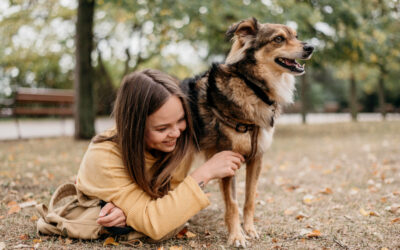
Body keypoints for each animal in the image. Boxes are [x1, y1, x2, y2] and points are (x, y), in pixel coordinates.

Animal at [180, 17, 314, 246]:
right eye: (279, 39)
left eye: (296, 36)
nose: (310, 47)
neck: (254, 88)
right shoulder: (227, 161)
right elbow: (233, 203)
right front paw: (236, 236)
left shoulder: (257, 158)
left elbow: (249, 198)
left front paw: (250, 230)